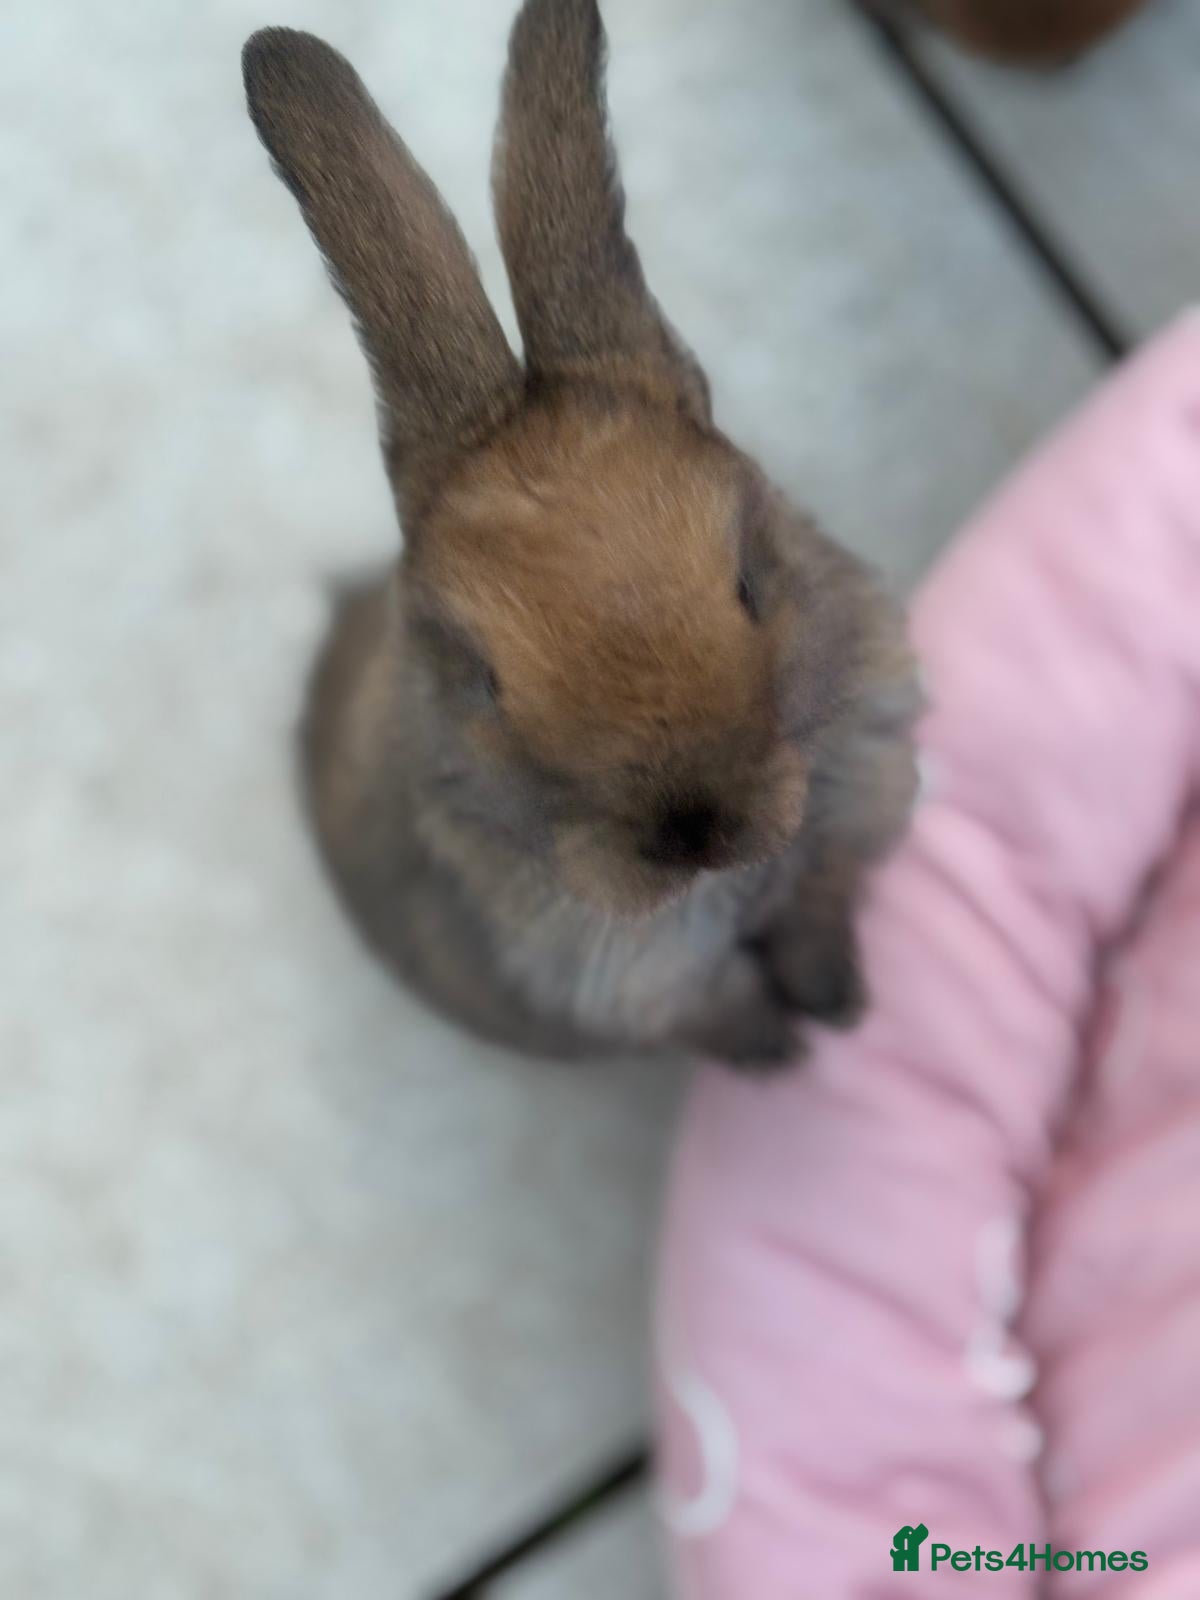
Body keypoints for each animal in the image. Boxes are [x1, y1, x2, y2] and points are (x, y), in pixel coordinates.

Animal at [241, 0, 920, 1069]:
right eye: (483, 680)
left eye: (749, 581)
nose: (694, 829)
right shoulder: (652, 989)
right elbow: (729, 1010)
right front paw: (790, 1058)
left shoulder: (843, 838)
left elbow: (817, 918)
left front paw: (841, 1006)